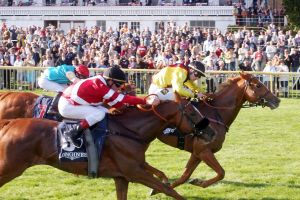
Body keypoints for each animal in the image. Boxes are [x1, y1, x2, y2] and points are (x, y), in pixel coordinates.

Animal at [0, 93, 204, 200]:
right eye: (193, 113)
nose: (209, 132)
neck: (128, 131)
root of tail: (9, 123)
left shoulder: (123, 176)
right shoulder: (135, 172)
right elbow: (169, 190)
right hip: (10, 167)